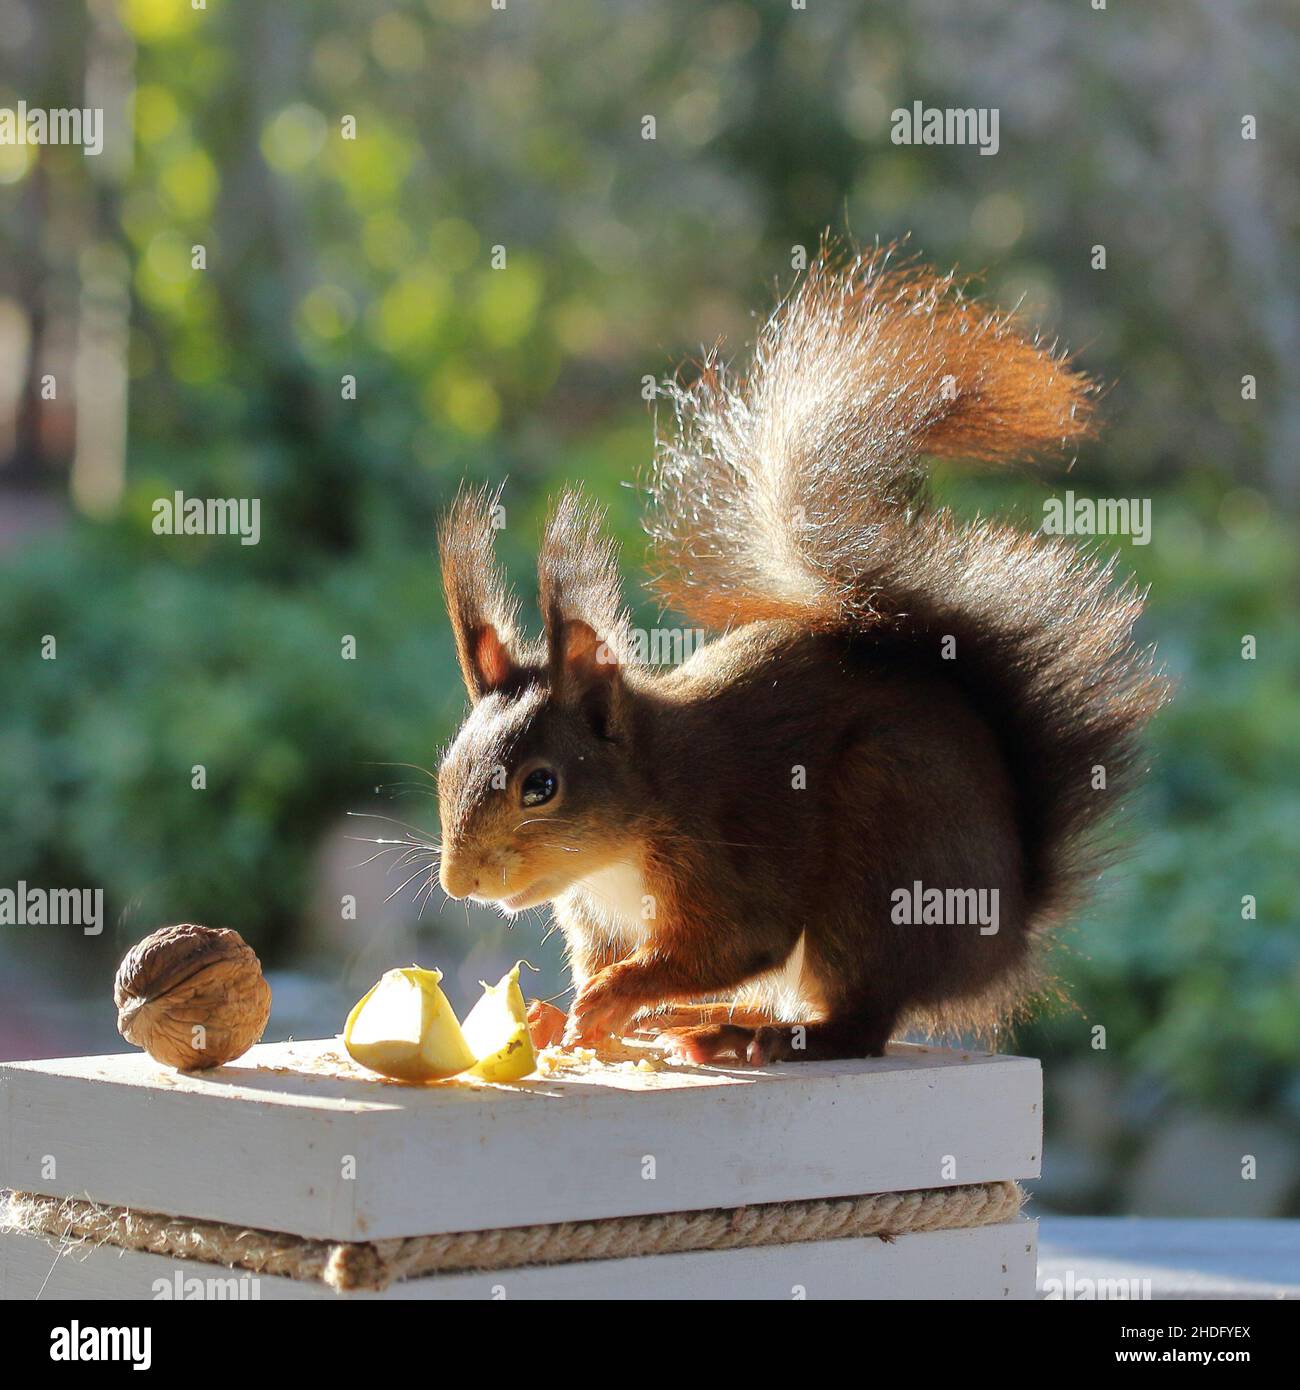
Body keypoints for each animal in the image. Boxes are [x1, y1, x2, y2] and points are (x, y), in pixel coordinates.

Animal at [433, 247, 1167, 1061]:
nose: (460, 884)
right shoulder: (597, 917)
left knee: (859, 1021)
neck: (631, 822)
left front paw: (615, 997)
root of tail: (1003, 934)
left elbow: (733, 944)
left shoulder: (725, 856)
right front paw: (552, 1018)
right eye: (447, 770)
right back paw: (715, 1023)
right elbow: (617, 956)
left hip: (884, 857)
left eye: (542, 786)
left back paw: (761, 1036)